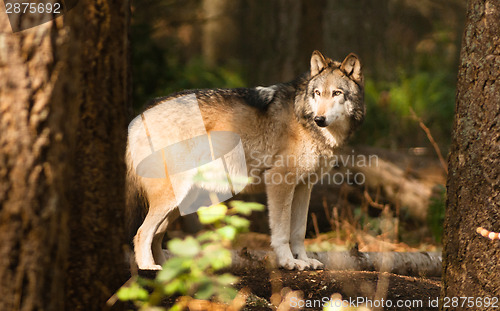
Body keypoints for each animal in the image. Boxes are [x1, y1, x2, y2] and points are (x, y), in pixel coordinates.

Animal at [127, 51, 366, 270]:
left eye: (336, 93)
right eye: (317, 93)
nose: (319, 119)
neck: (305, 121)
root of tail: (139, 116)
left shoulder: (304, 186)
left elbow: (298, 231)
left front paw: (304, 260)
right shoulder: (279, 182)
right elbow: (282, 232)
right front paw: (288, 262)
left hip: (182, 201)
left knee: (157, 234)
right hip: (172, 197)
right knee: (141, 233)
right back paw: (149, 269)